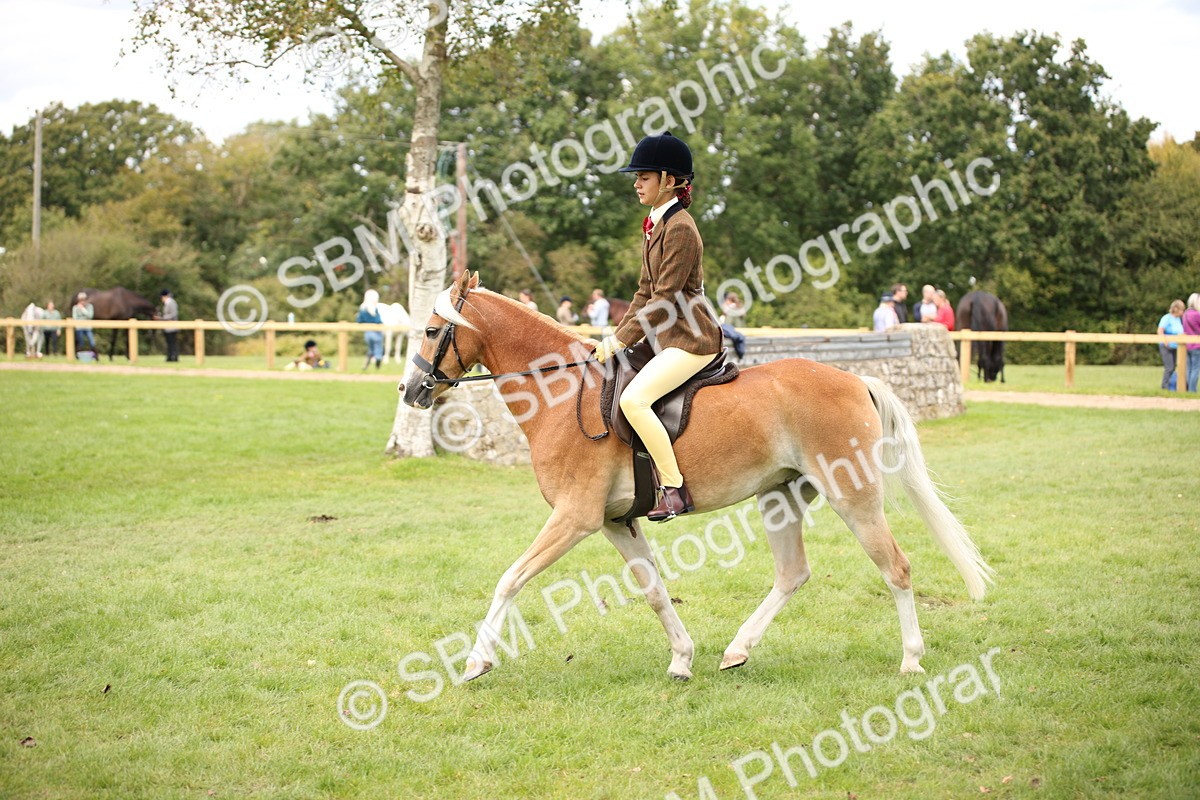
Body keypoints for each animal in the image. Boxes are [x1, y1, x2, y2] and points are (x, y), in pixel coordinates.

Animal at [400, 271, 993, 683]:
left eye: (431, 330)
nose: (410, 391)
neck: (563, 393)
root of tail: (854, 379)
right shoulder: (616, 522)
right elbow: (655, 591)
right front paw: (682, 659)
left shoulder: (575, 518)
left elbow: (510, 578)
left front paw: (476, 662)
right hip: (779, 496)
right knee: (792, 573)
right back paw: (736, 650)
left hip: (853, 495)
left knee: (896, 567)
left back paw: (911, 660)